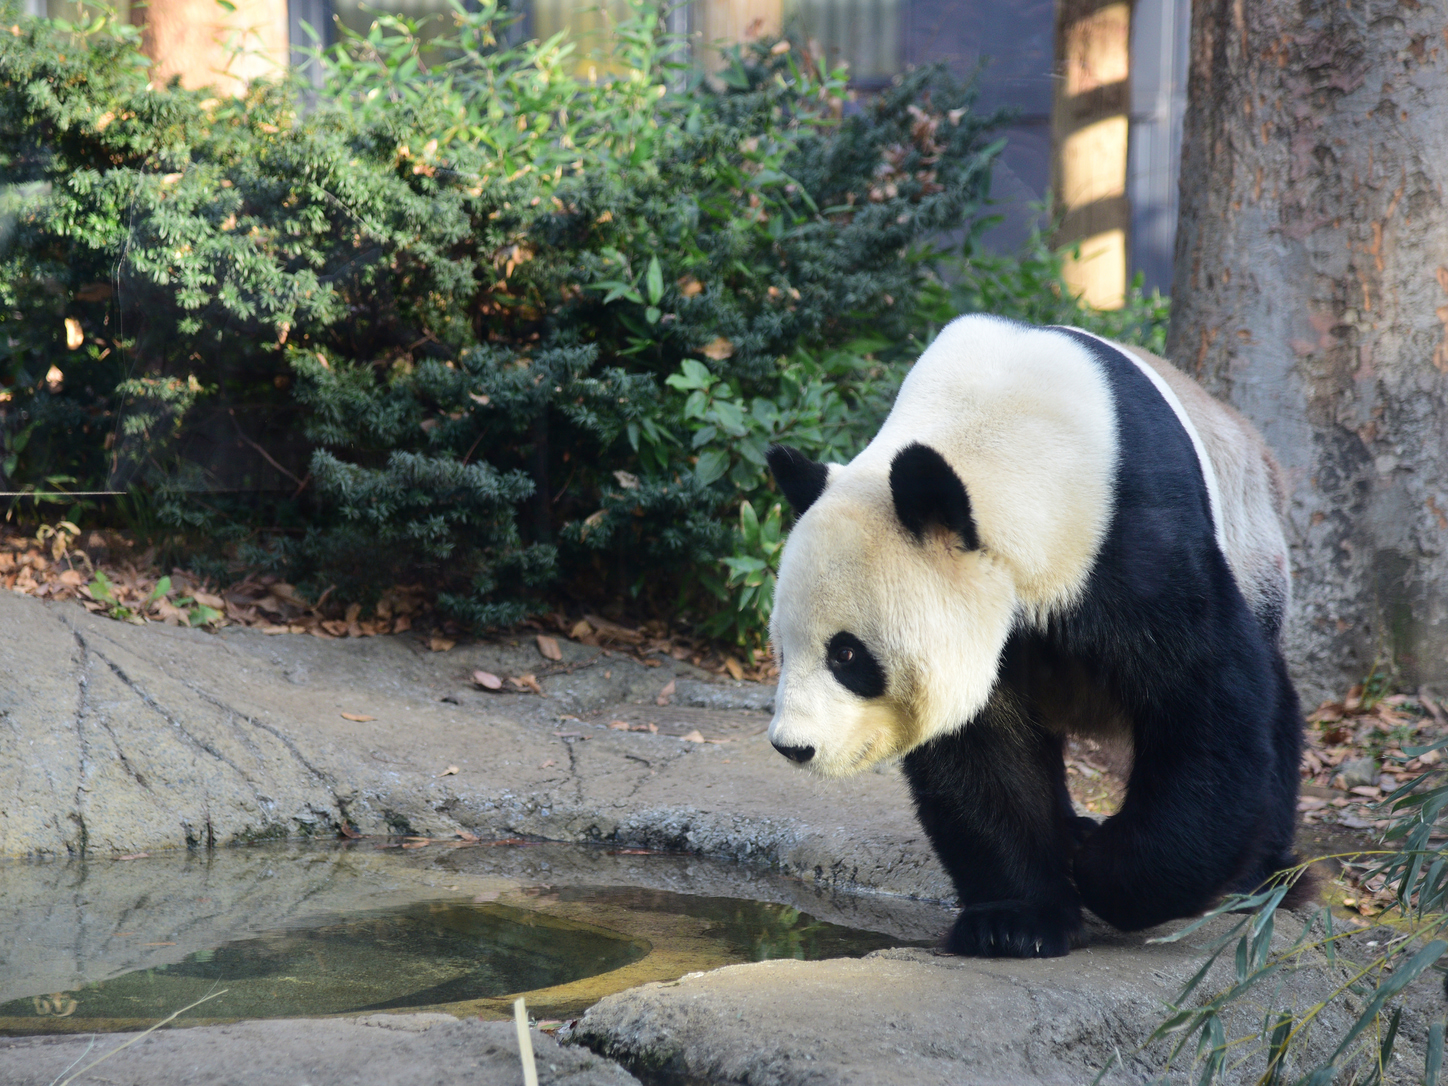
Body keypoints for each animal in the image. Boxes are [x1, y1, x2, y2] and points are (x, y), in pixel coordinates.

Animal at [770, 314, 1303, 961]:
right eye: (782, 648)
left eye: (846, 654)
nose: (794, 746)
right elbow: (983, 753)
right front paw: (1014, 922)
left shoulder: (1136, 536)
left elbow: (1205, 702)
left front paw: (1108, 874)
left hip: (1255, 548)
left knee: (1273, 707)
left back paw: (1259, 879)